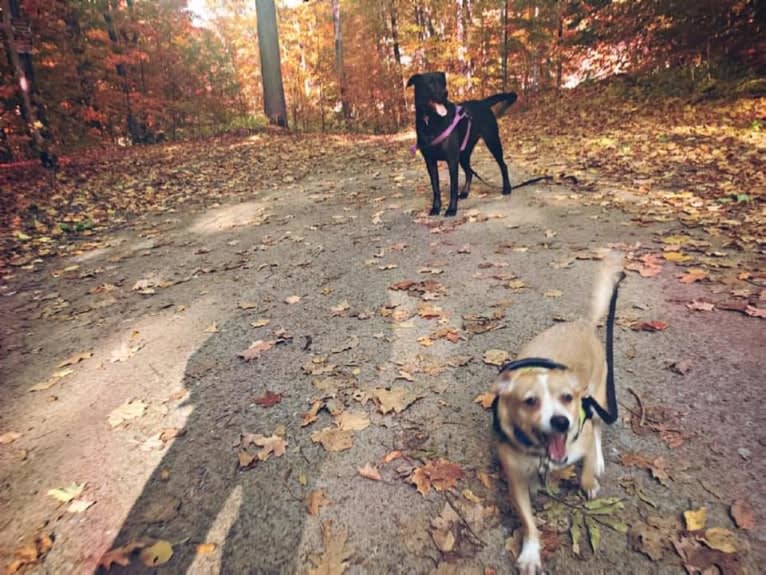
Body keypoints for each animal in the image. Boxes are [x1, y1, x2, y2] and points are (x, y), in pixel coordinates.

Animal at [404, 71, 520, 216]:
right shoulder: (430, 161)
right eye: (429, 83)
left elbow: (453, 188)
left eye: (443, 82)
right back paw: (465, 193)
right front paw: (436, 208)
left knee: (503, 165)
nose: (445, 92)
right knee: (469, 172)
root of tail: (482, 102)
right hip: (464, 153)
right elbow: (436, 188)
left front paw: (451, 209)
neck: (431, 120)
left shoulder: (452, 159)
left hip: (492, 141)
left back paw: (507, 188)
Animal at [496, 254, 628, 572]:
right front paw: (531, 553)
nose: (561, 422)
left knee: (598, 429)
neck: (544, 455)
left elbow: (587, 464)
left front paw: (589, 481)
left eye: (567, 398)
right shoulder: (515, 480)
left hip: (599, 396)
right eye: (530, 401)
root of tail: (584, 325)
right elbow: (528, 522)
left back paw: (599, 459)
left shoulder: (582, 433)